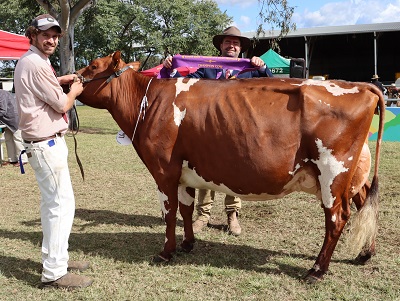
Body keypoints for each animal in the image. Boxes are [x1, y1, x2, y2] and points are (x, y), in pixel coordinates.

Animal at [75, 51, 384, 282]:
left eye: (93, 65)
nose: (68, 82)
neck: (149, 101)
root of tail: (361, 86)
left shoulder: (163, 170)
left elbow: (169, 213)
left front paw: (165, 252)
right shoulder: (184, 172)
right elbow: (186, 209)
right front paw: (187, 244)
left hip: (333, 172)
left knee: (337, 218)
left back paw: (317, 271)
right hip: (352, 173)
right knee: (363, 201)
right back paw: (364, 254)